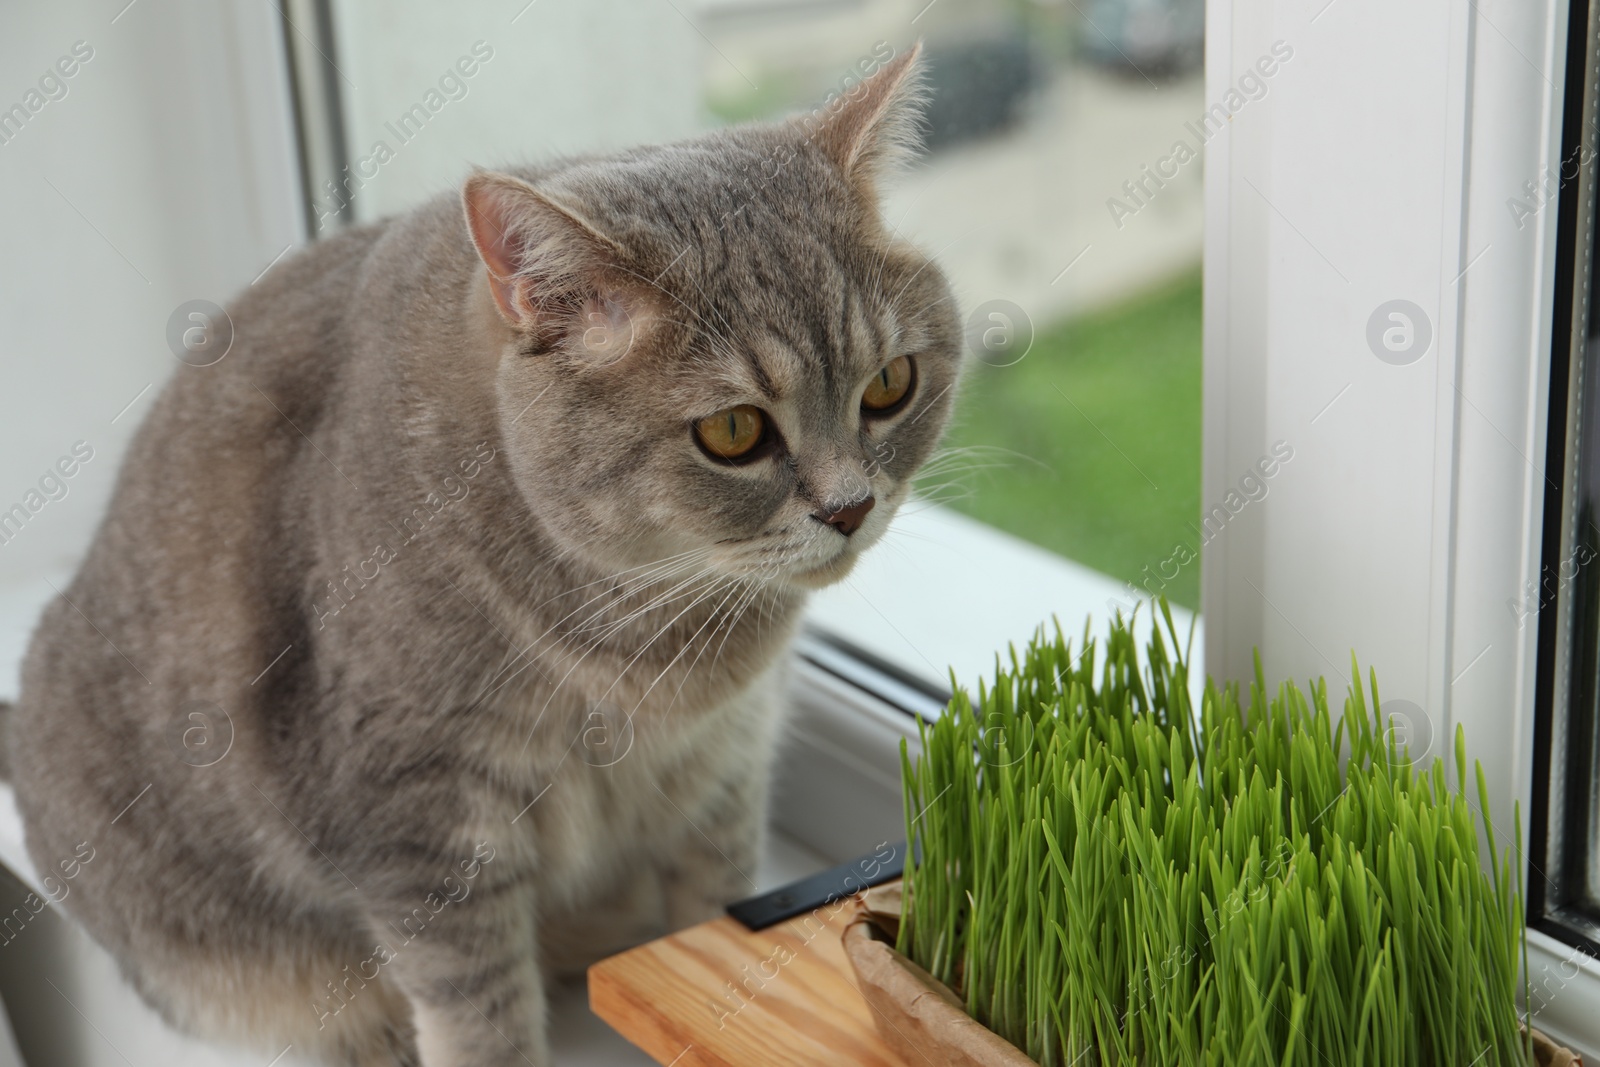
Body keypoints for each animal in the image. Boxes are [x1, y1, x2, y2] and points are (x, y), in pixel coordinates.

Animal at [6, 43, 953, 1067]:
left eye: (891, 385)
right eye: (734, 432)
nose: (851, 506)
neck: (655, 620)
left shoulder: (724, 770)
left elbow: (719, 930)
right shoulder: (419, 825)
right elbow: (478, 1012)